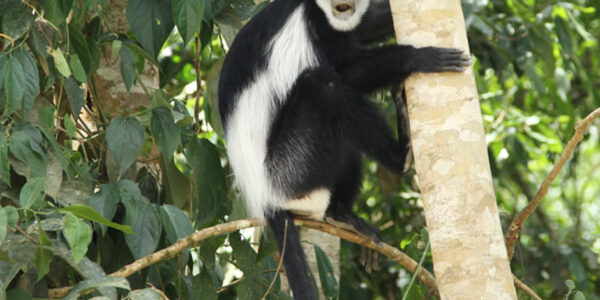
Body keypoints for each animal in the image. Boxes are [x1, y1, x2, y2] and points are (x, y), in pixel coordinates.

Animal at [218, 0, 472, 296]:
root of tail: (265, 199)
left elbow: (364, 26)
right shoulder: (314, 28)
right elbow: (344, 73)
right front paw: (418, 58)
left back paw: (342, 215)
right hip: (291, 169)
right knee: (322, 85)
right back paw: (399, 158)